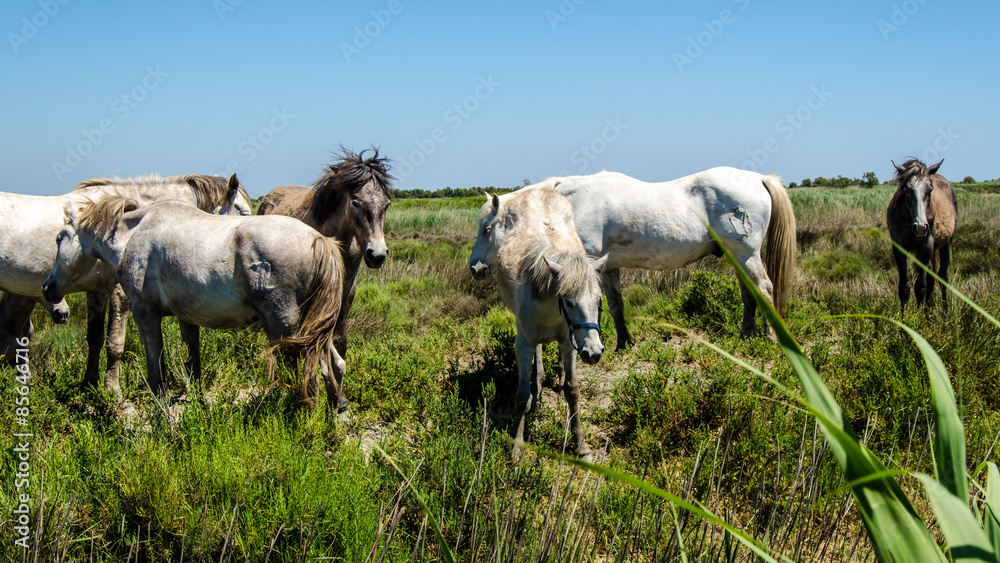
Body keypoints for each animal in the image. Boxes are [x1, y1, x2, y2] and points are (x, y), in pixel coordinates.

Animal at [0, 174, 251, 399]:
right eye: (245, 212)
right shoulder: (121, 294)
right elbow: (115, 344)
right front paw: (113, 390)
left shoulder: (98, 291)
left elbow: (95, 339)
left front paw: (89, 385)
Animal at [42, 197, 349, 410]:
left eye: (59, 238)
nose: (47, 288)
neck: (136, 234)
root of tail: (318, 239)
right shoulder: (186, 317)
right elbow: (193, 362)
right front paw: (196, 401)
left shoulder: (144, 313)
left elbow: (156, 363)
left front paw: (161, 402)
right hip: (312, 328)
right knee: (335, 365)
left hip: (286, 329)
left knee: (310, 381)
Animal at [469, 167, 797, 344]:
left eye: (487, 229)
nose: (474, 268)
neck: (570, 206)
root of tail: (759, 179)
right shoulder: (608, 267)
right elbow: (616, 306)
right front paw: (624, 343)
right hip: (737, 256)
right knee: (749, 293)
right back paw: (745, 335)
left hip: (746, 254)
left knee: (764, 289)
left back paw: (771, 337)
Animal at [469, 188, 607, 460]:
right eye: (569, 301)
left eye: (599, 301)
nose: (594, 352)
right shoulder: (523, 343)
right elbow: (522, 395)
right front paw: (517, 446)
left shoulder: (569, 342)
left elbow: (572, 389)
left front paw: (581, 445)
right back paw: (538, 385)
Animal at [886, 158, 957, 310]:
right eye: (906, 189)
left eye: (930, 189)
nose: (920, 228)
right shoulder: (899, 248)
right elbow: (904, 287)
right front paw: (905, 315)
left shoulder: (926, 247)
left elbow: (920, 287)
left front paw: (919, 316)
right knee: (931, 278)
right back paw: (928, 309)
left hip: (946, 244)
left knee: (942, 277)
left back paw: (945, 311)